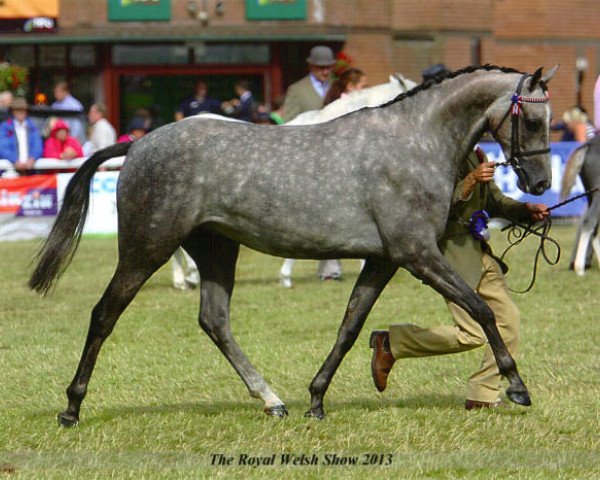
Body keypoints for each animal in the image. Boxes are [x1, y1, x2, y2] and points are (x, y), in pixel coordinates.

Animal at [27, 64, 552, 428]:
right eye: (531, 120)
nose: (541, 184)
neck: (412, 143)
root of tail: (137, 145)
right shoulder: (418, 255)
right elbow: (482, 310)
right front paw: (517, 387)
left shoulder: (383, 260)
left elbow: (350, 326)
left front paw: (316, 400)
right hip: (146, 248)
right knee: (105, 314)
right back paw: (72, 408)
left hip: (217, 250)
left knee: (214, 321)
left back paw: (273, 401)